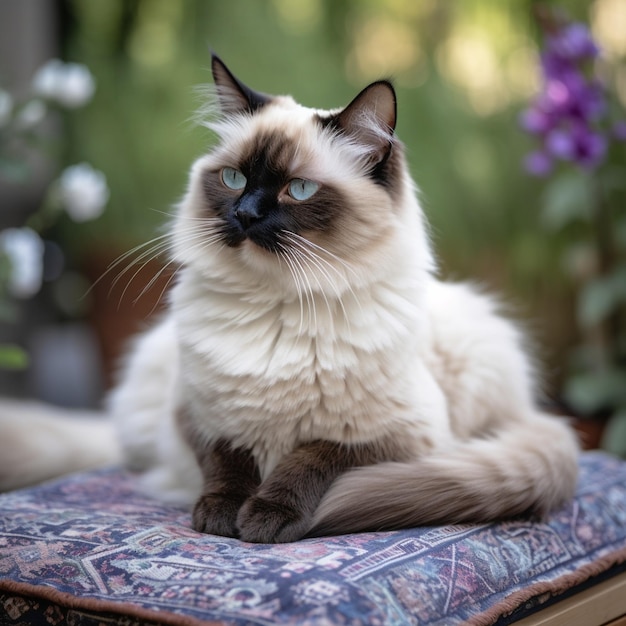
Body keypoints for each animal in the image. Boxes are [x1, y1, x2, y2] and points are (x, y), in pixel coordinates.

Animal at [0, 54, 576, 540]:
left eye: (297, 190)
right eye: (233, 179)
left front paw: (265, 518)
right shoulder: (197, 416)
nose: (245, 214)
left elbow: (313, 454)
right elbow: (228, 457)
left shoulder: (401, 437)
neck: (277, 306)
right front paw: (221, 516)